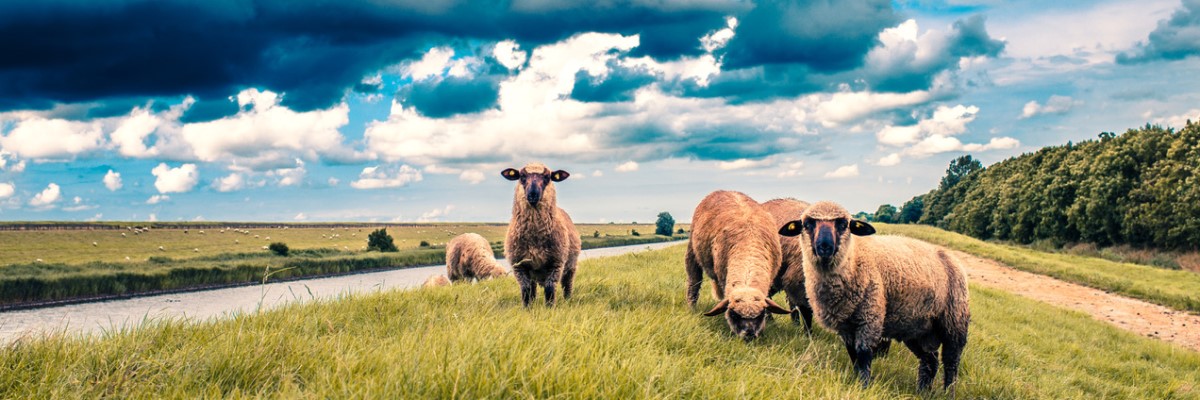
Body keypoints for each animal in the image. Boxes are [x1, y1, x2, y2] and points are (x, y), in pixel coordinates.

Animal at [501, 162, 580, 305]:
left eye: (547, 177)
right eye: (522, 176)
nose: (533, 194)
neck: (534, 238)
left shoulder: (556, 263)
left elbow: (550, 290)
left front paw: (550, 308)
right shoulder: (519, 266)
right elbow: (526, 291)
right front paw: (527, 308)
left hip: (571, 266)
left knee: (567, 285)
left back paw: (568, 300)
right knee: (532, 290)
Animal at [686, 189, 796, 338]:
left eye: (760, 315)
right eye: (734, 315)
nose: (748, 335)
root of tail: (724, 190)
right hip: (692, 250)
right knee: (694, 283)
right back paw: (691, 307)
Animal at [777, 200, 964, 391]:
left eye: (843, 224)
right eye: (807, 224)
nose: (825, 247)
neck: (853, 260)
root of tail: (947, 255)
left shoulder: (870, 316)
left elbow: (863, 353)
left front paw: (864, 386)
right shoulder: (846, 325)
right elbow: (852, 354)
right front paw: (856, 380)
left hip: (954, 322)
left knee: (951, 362)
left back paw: (948, 392)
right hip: (918, 327)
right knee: (929, 361)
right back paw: (922, 391)